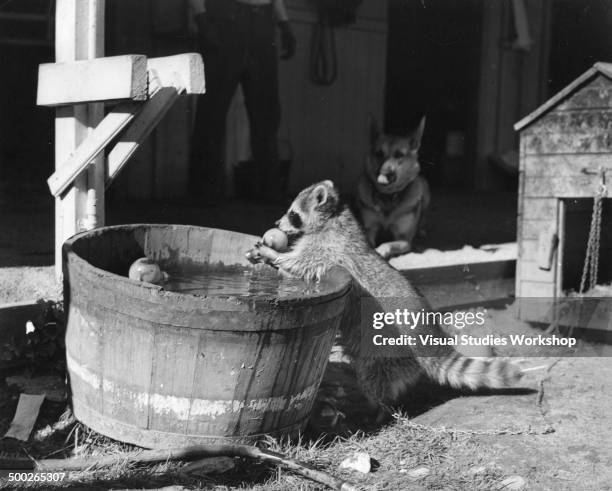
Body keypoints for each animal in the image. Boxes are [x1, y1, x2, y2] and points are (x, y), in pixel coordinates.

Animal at [246, 181, 524, 412]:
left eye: (293, 214)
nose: (277, 223)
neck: (334, 217)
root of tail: (429, 335)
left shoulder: (327, 248)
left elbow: (300, 264)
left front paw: (273, 255)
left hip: (387, 353)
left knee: (374, 378)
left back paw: (380, 408)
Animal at [354, 117, 430, 260]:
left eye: (399, 154)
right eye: (379, 153)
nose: (384, 172)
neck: (388, 196)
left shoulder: (404, 239)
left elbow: (388, 243)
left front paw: (380, 250)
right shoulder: (370, 228)